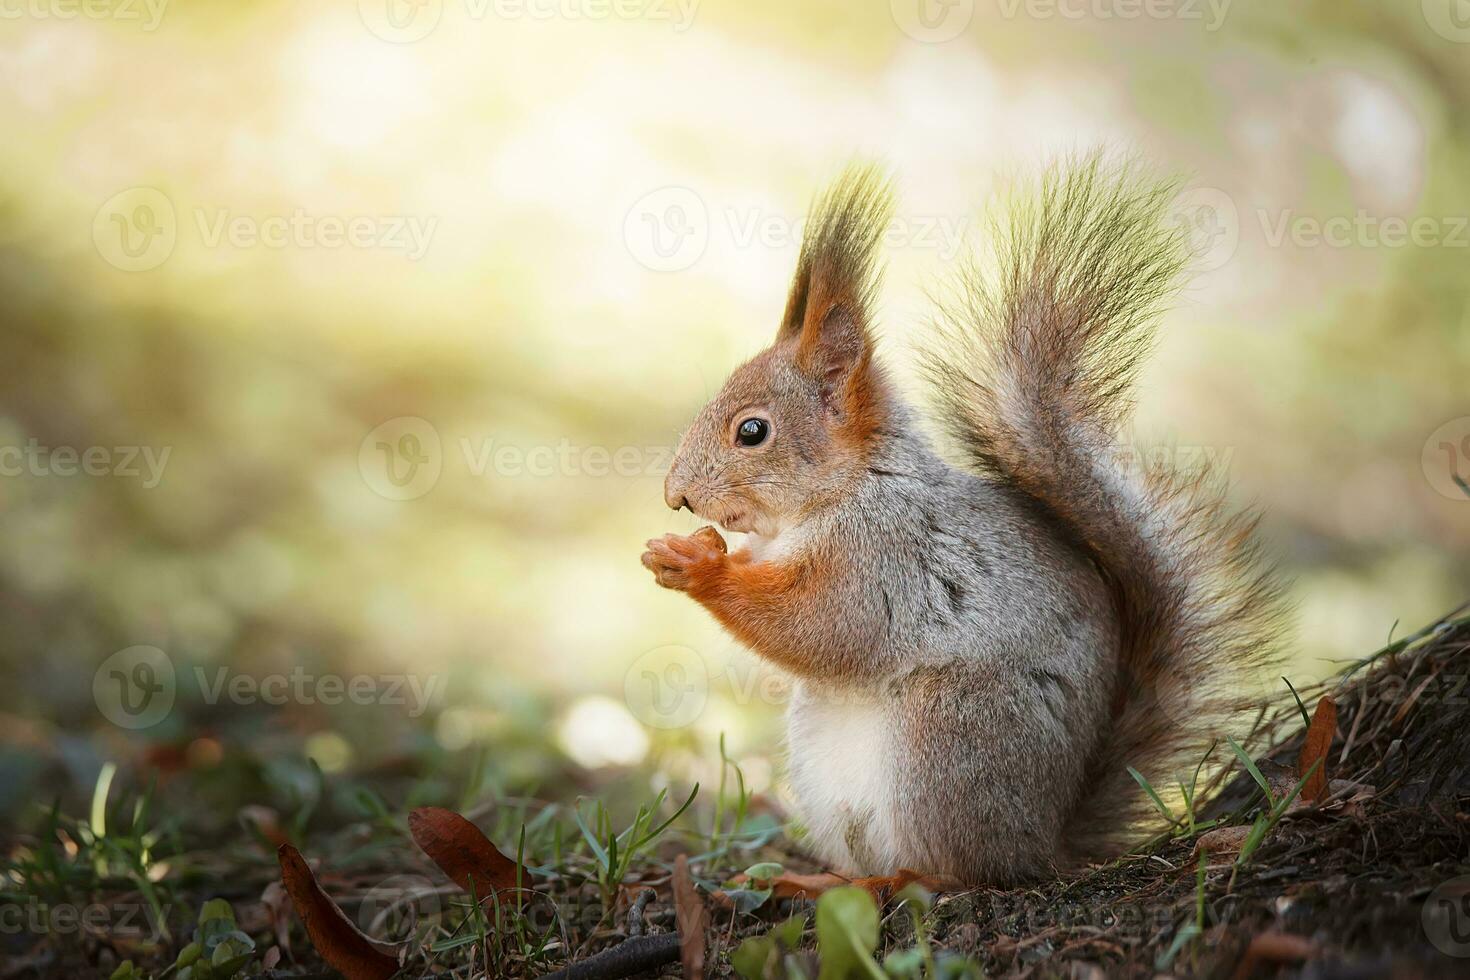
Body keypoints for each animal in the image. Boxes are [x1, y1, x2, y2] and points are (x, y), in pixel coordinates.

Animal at [643, 155, 1287, 887]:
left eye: (752, 431)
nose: (675, 495)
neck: (839, 496)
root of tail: (1043, 841)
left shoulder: (887, 555)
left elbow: (825, 623)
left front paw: (699, 567)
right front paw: (693, 550)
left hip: (948, 737)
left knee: (955, 872)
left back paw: (905, 879)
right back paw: (819, 879)